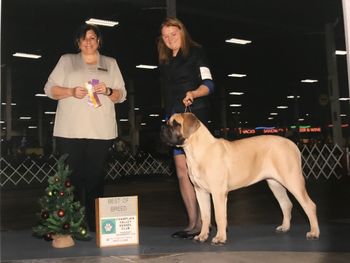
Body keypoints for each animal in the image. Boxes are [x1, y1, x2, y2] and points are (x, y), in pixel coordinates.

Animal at [161, 113, 320, 245]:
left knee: (309, 205)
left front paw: (220, 238)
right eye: (168, 121)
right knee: (286, 204)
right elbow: (205, 216)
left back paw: (314, 232)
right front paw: (202, 235)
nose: (162, 127)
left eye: (175, 123)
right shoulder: (200, 191)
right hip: (275, 184)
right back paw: (285, 227)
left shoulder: (218, 192)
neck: (198, 150)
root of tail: (292, 144)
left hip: (293, 181)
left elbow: (219, 216)